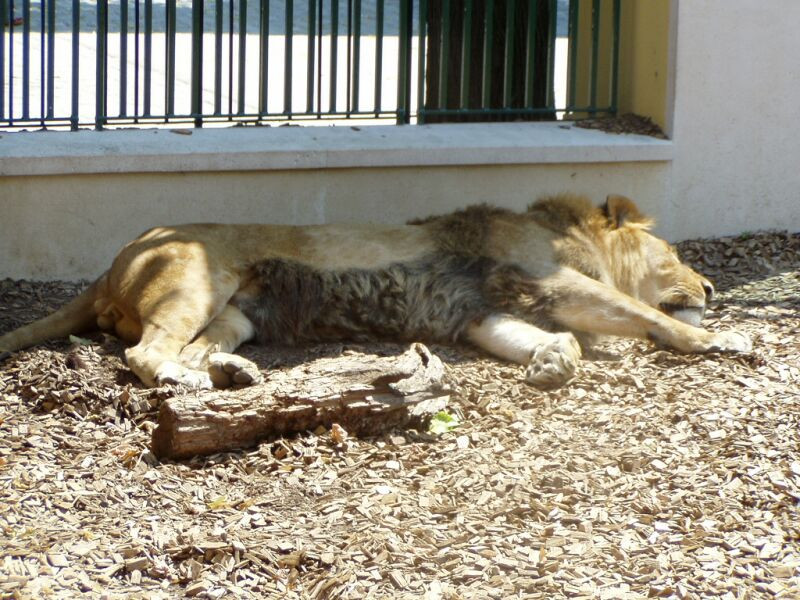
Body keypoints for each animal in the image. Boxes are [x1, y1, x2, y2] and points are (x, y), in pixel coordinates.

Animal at [0, 193, 752, 390]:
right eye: (673, 253)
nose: (712, 284)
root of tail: (113, 261)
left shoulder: (481, 313)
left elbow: (547, 336)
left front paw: (551, 362)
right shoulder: (542, 277)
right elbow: (643, 314)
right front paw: (723, 337)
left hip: (234, 312)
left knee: (188, 351)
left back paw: (232, 375)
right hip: (196, 281)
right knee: (148, 356)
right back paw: (196, 384)